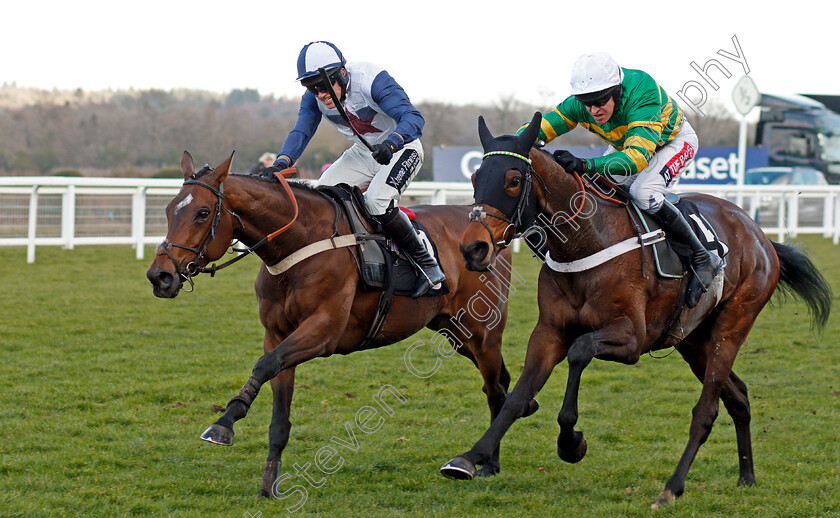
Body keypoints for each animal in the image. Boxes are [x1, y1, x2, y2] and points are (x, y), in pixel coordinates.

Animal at [144, 151, 540, 500]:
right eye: (168, 210)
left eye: (202, 212)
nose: (159, 276)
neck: (300, 243)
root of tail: (490, 234)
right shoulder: (277, 334)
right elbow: (278, 412)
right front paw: (268, 486)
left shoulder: (324, 332)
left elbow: (264, 365)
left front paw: (224, 422)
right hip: (453, 331)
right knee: (497, 381)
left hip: (482, 332)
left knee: (494, 388)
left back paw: (487, 463)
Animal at [442, 114, 832, 508]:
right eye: (475, 177)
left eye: (513, 180)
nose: (473, 248)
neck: (586, 240)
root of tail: (761, 236)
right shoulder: (549, 332)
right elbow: (519, 394)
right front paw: (470, 458)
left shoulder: (631, 338)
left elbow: (580, 350)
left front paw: (571, 442)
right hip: (692, 340)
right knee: (738, 396)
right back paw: (747, 477)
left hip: (733, 325)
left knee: (706, 411)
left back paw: (671, 488)